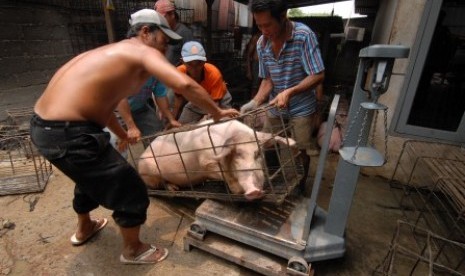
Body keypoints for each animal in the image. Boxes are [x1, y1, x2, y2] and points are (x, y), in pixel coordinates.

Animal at [137, 119, 294, 199]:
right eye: (237, 154)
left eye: (257, 153)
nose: (254, 191)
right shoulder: (206, 163)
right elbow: (225, 174)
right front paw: (237, 190)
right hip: (150, 172)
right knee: (160, 184)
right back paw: (174, 189)